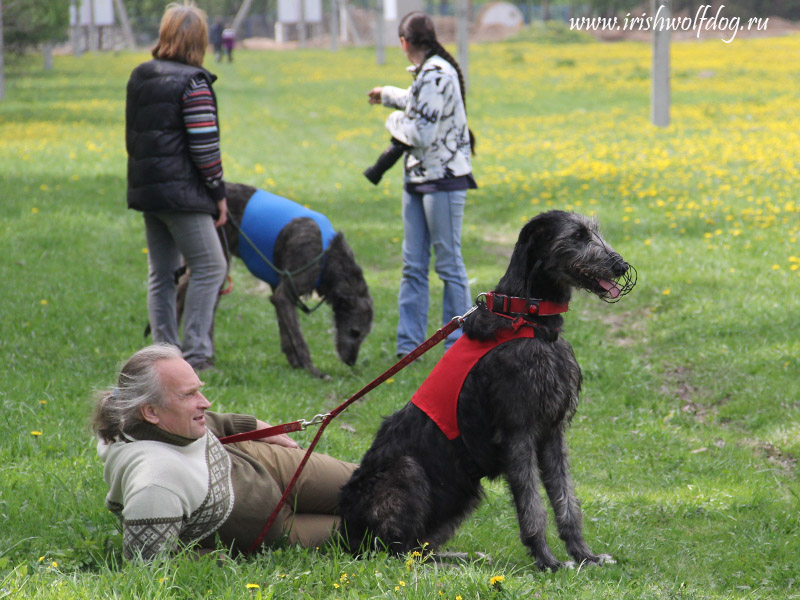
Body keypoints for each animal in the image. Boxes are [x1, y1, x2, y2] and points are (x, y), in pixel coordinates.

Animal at [173, 183, 374, 380]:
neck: (329, 254)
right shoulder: (288, 290)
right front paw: (312, 370)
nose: (351, 361)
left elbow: (286, 332)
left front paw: (295, 363)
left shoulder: (278, 290)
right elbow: (298, 337)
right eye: (354, 332)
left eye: (364, 336)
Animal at [338, 212, 636, 572]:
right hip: (408, 471)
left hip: (462, 492)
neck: (528, 319)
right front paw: (547, 561)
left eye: (595, 231)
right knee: (394, 552)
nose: (620, 265)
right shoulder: (517, 433)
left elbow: (566, 501)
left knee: (416, 548)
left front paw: (584, 555)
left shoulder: (552, 434)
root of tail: (342, 531)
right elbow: (532, 507)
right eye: (577, 235)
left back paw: (461, 557)